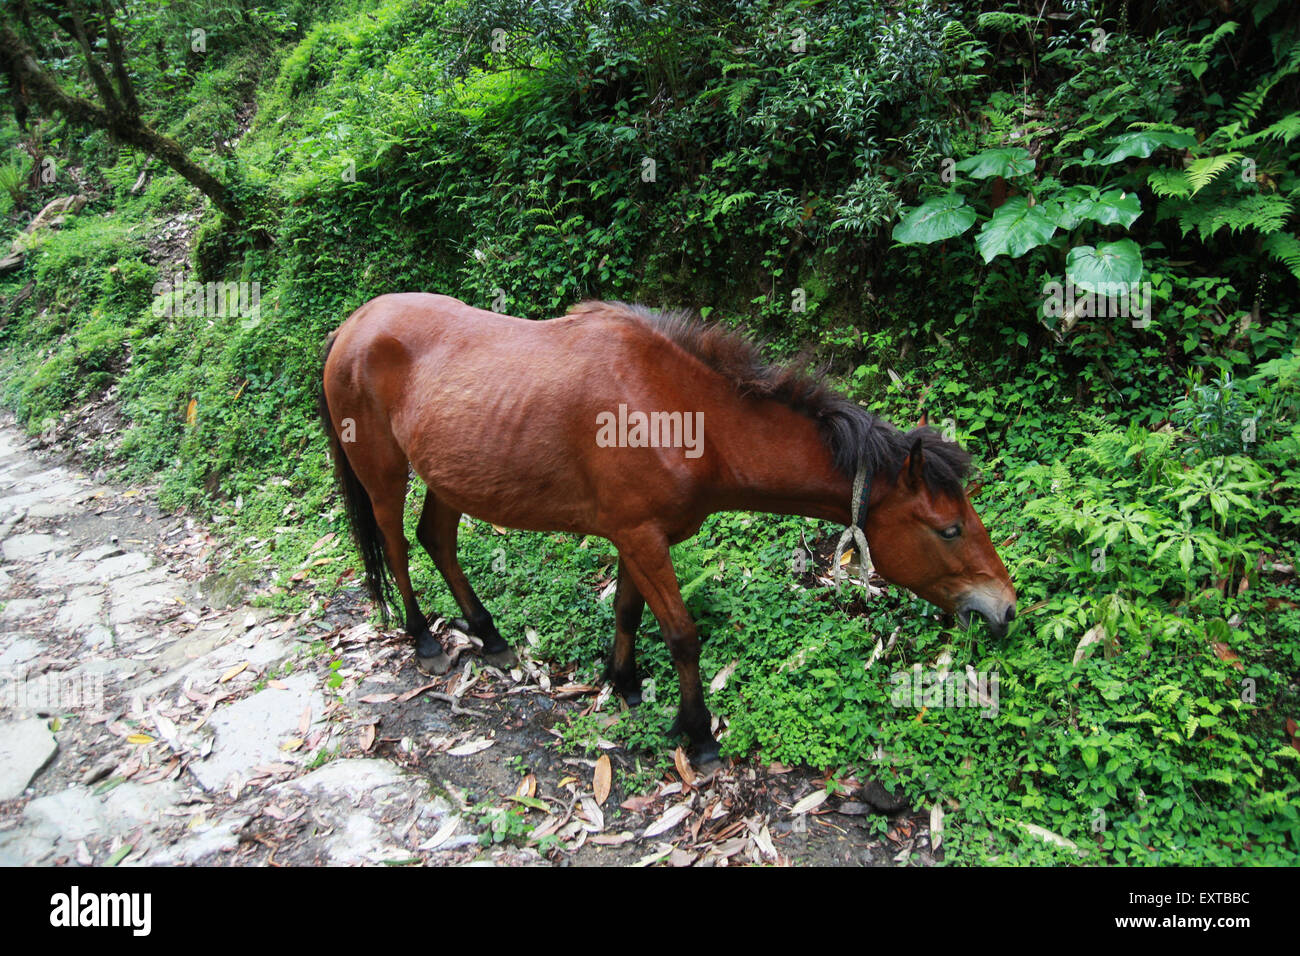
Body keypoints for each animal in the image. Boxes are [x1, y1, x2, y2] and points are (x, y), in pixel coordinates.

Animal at [319, 294, 1016, 765]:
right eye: (950, 529)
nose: (1005, 608)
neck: (679, 409)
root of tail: (351, 326)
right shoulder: (642, 538)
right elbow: (682, 634)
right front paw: (698, 733)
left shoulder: (637, 537)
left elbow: (628, 611)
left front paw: (623, 683)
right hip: (384, 474)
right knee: (397, 545)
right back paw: (422, 637)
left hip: (450, 479)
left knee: (437, 539)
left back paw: (489, 636)